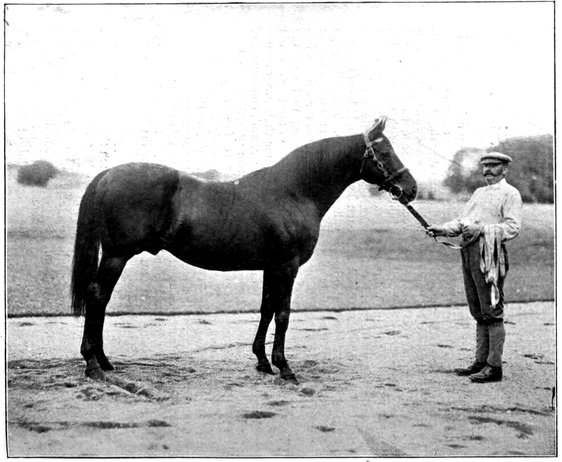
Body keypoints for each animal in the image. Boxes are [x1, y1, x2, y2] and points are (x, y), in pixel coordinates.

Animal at [71, 117, 417, 382]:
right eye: (385, 151)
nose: (411, 189)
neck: (294, 192)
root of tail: (108, 174)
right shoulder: (287, 265)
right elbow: (283, 314)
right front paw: (285, 367)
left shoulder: (271, 266)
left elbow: (266, 309)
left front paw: (263, 362)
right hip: (116, 256)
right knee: (97, 296)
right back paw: (93, 365)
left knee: (101, 300)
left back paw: (104, 361)